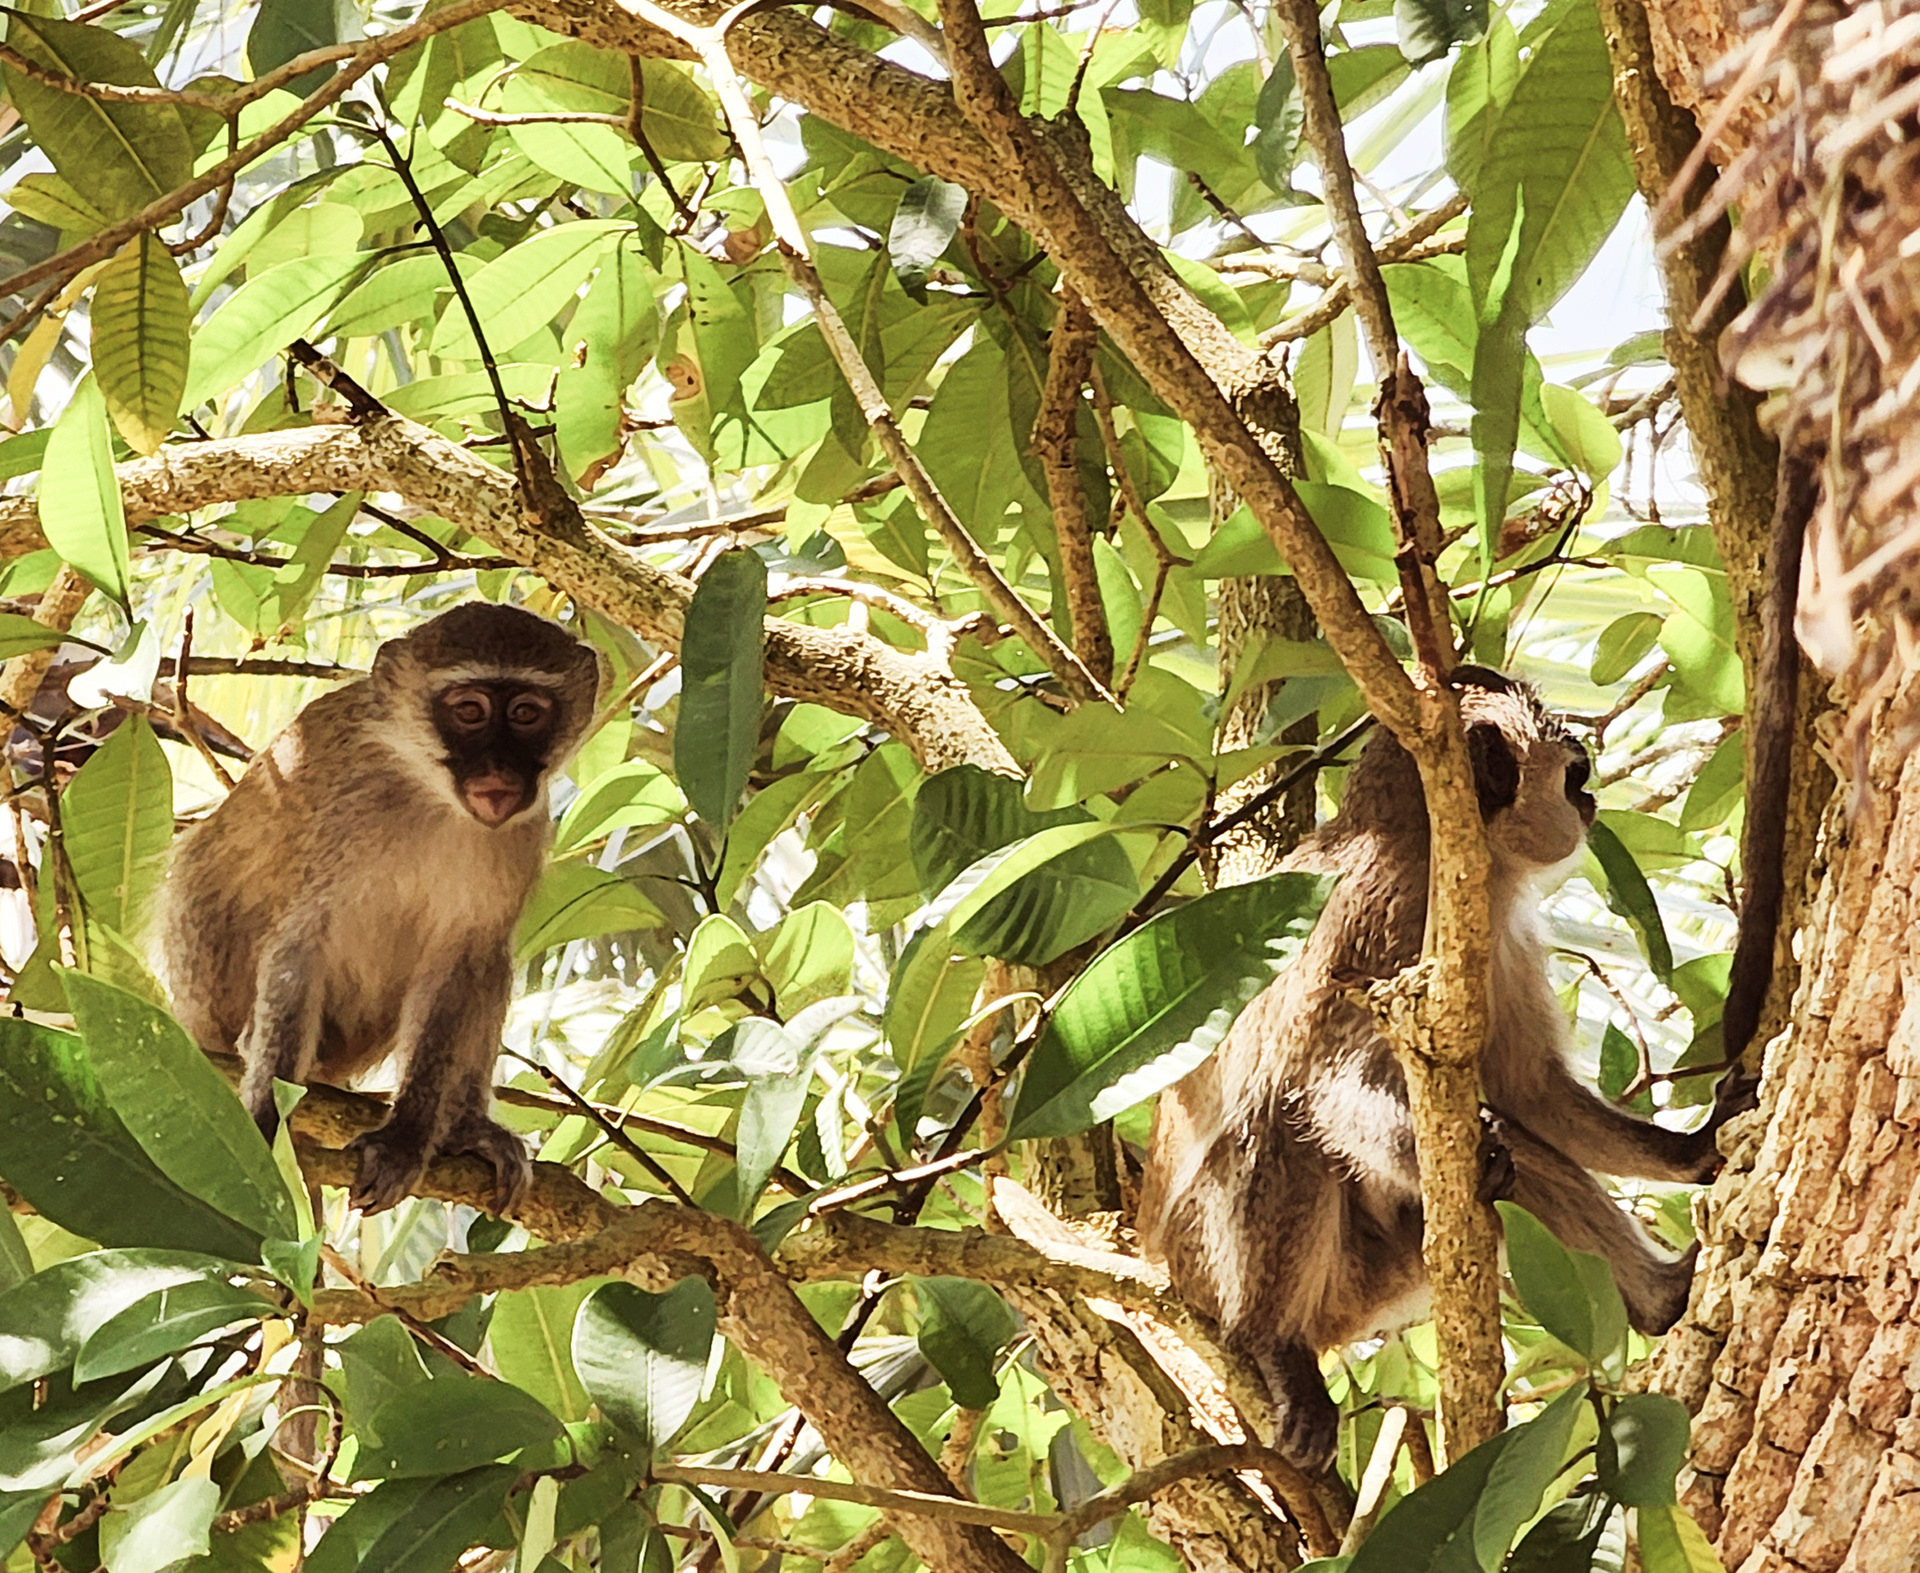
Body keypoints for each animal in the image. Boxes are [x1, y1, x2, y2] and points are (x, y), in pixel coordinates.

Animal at [160, 602, 605, 1216]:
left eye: (525, 714)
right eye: (470, 712)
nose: (498, 770)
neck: (428, 791)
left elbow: (460, 964)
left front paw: (406, 1137)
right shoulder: (340, 818)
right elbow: (300, 948)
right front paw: (266, 1122)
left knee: (489, 964)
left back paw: (463, 1128)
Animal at [1137, 667, 1756, 1468]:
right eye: (1570, 766)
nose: (1587, 786)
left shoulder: (1501, 933)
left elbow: (1531, 1094)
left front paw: (1695, 1149)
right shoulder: (1392, 913)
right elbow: (1323, 1090)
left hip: (1384, 1267)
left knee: (1511, 1167)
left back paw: (1659, 1298)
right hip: (1222, 1266)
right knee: (1278, 1126)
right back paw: (1274, 1345)